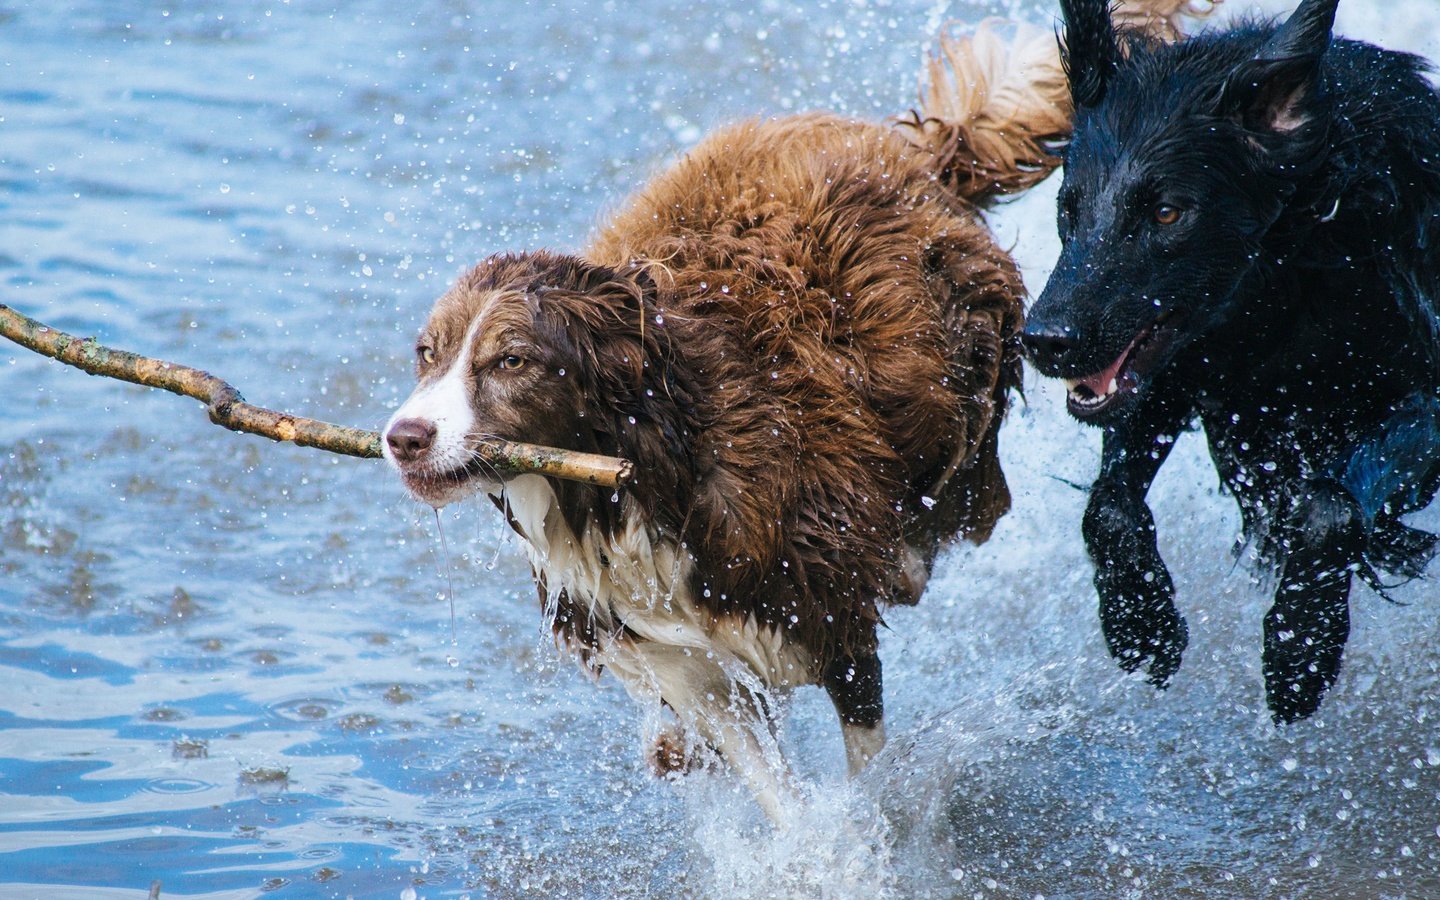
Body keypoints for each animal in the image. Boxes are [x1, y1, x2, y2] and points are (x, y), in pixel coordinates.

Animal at [1019, 0, 1440, 720]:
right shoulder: (1177, 373)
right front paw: (1141, 624)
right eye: (1068, 208)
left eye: (1166, 212)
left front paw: (1300, 648)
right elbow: (1107, 507)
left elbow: (1329, 508)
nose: (1045, 340)